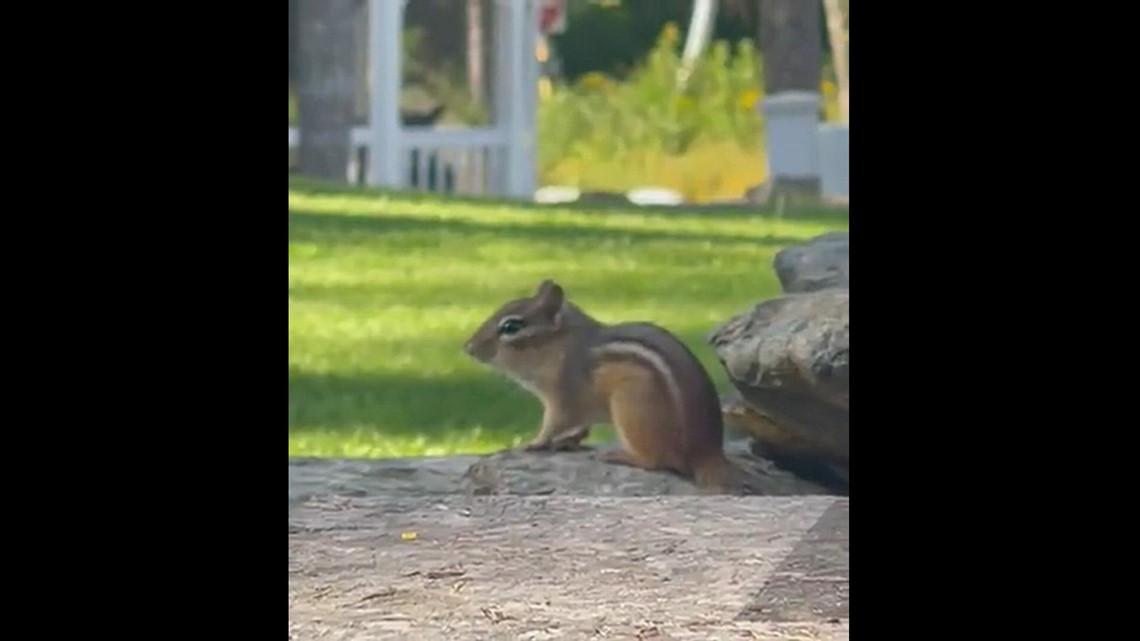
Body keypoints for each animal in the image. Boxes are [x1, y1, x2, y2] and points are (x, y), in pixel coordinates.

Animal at [463, 279, 764, 495]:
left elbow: (554, 423)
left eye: (511, 327)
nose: (468, 348)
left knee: (659, 461)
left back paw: (620, 455)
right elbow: (579, 428)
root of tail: (707, 453)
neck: (561, 346)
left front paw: (533, 444)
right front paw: (567, 442)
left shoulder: (563, 396)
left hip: (631, 405)